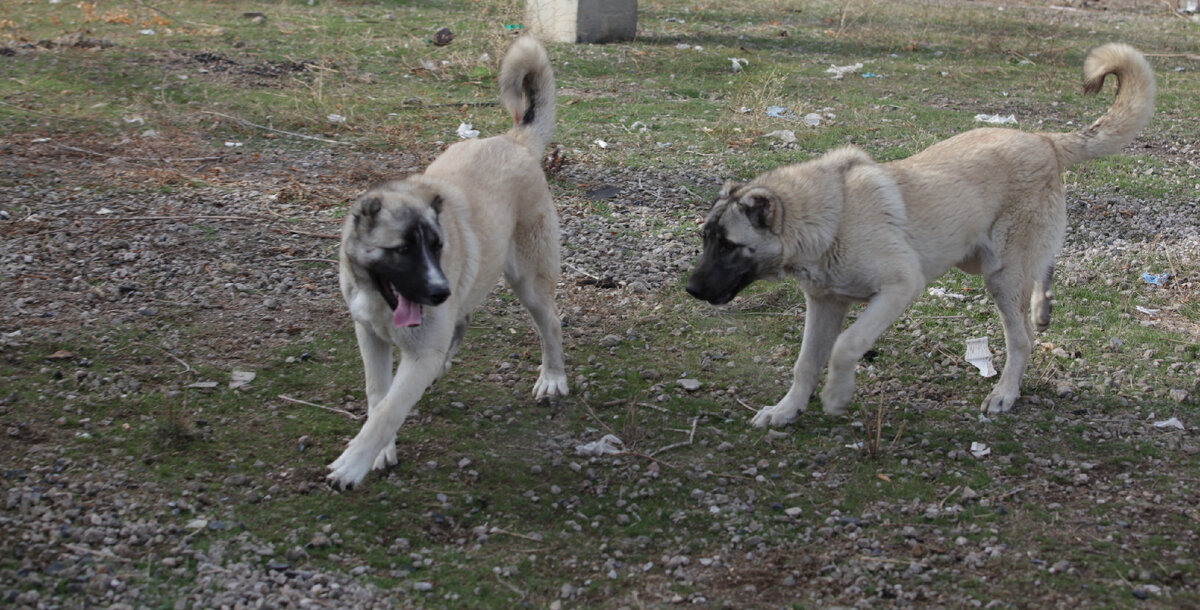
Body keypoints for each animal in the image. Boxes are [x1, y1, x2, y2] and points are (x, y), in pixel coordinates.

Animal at [328, 35, 566, 487]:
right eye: (402, 250)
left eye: (437, 246)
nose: (440, 292)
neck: (382, 302)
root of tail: (512, 140)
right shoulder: (369, 336)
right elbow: (378, 396)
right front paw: (379, 451)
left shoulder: (418, 354)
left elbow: (388, 411)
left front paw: (353, 462)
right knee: (464, 318)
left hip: (530, 283)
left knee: (551, 326)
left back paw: (553, 378)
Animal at [691, 45, 1156, 427]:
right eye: (705, 240)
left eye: (729, 245)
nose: (691, 290)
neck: (831, 216)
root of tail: (1043, 139)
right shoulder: (824, 305)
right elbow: (805, 363)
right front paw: (787, 410)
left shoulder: (898, 288)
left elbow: (846, 346)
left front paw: (837, 396)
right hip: (983, 261)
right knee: (1044, 268)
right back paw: (1043, 307)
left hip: (1000, 275)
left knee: (1021, 339)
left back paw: (1005, 393)